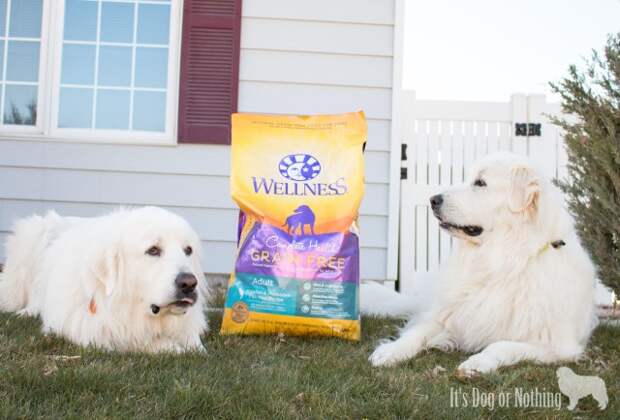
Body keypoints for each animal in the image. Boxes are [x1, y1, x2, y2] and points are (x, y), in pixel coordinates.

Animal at [0, 208, 208, 352]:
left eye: (188, 250)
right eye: (153, 250)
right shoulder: (89, 328)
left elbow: (194, 343)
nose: (189, 283)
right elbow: (136, 340)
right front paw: (170, 347)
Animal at [370, 153, 600, 376]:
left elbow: (500, 345)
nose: (433, 199)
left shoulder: (557, 345)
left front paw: (477, 362)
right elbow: (416, 332)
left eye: (480, 183)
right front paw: (390, 350)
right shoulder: (446, 316)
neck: (503, 263)